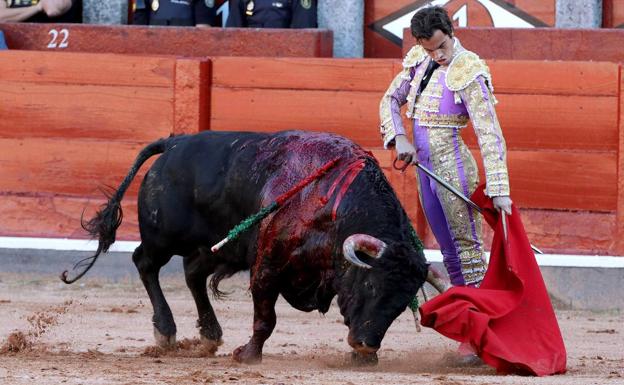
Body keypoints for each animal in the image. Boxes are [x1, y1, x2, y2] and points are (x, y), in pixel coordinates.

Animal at [67, 130, 428, 362]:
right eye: (370, 284)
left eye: (402, 303)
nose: (367, 346)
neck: (331, 204)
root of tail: (174, 142)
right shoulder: (268, 264)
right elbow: (265, 317)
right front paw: (248, 355)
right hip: (164, 237)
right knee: (145, 263)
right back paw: (166, 331)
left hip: (214, 245)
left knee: (192, 274)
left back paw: (210, 334)